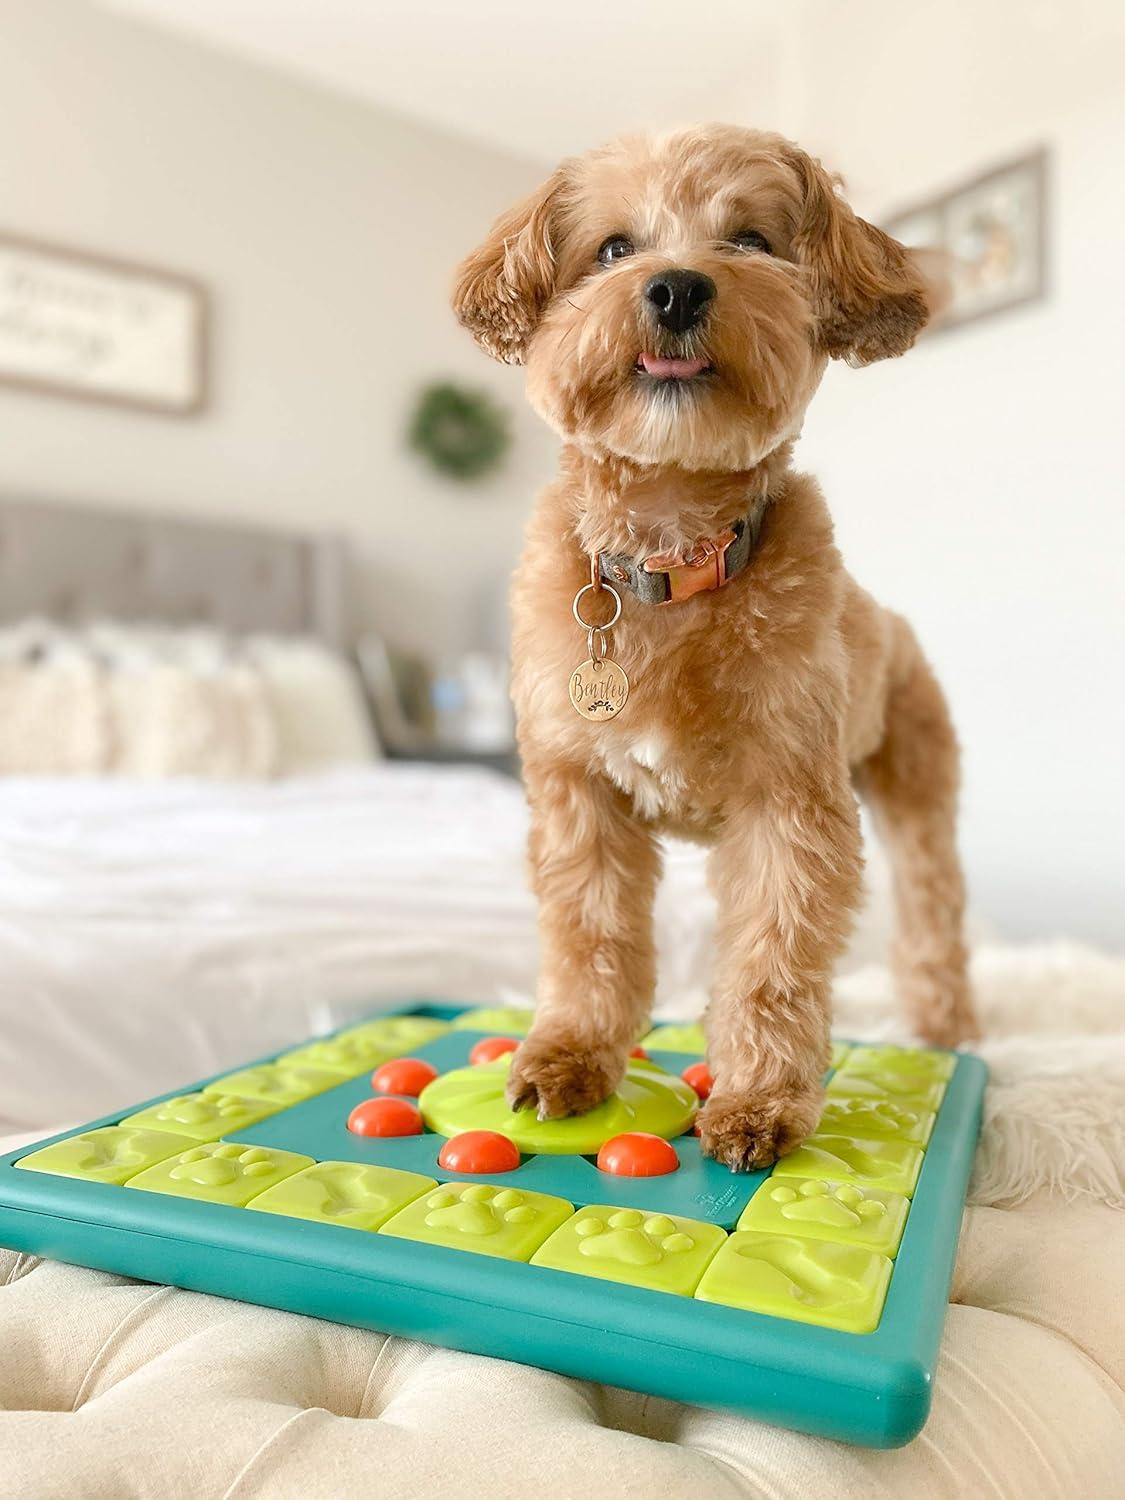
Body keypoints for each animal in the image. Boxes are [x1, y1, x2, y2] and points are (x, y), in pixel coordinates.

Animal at [453, 126, 984, 1170]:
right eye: (614, 248)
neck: (671, 555)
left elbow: (770, 960)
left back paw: (945, 1027)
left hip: (917, 787)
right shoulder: (578, 796)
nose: (675, 289)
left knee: (932, 912)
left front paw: (758, 1103)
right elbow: (588, 937)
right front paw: (569, 1055)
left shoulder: (789, 802)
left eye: (749, 240)